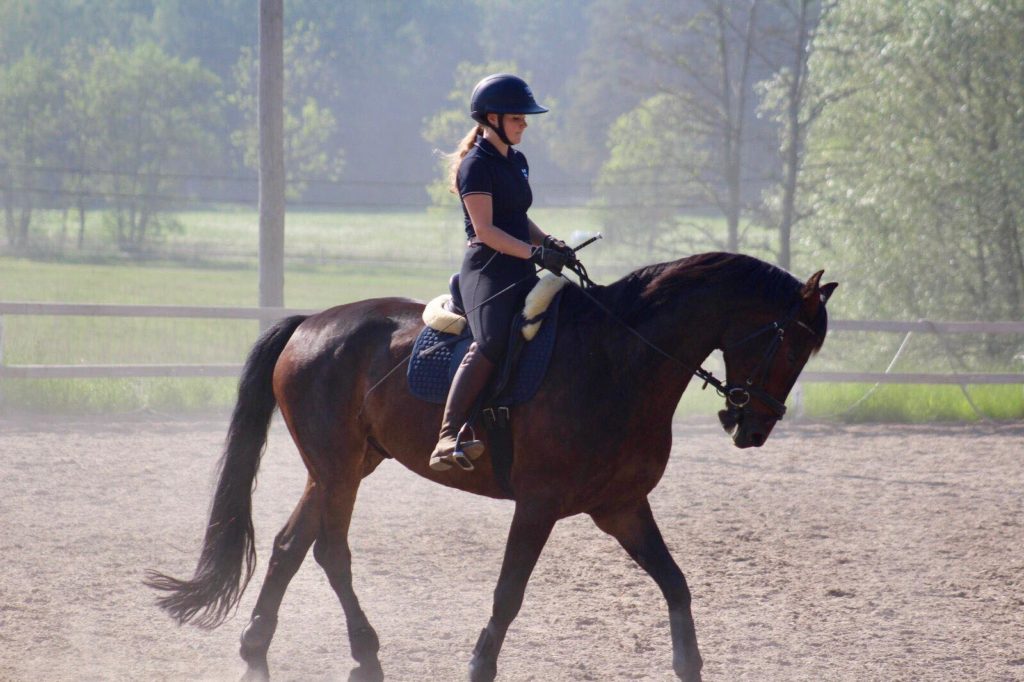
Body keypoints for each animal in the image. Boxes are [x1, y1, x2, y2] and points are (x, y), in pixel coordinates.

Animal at [148, 251, 835, 675]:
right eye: (790, 342)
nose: (753, 427)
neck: (621, 361)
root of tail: (310, 324)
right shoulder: (539, 505)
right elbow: (508, 594)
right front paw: (480, 665)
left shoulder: (620, 506)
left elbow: (675, 583)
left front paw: (689, 666)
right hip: (338, 469)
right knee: (329, 550)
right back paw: (362, 653)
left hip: (344, 466)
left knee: (293, 546)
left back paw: (259, 649)